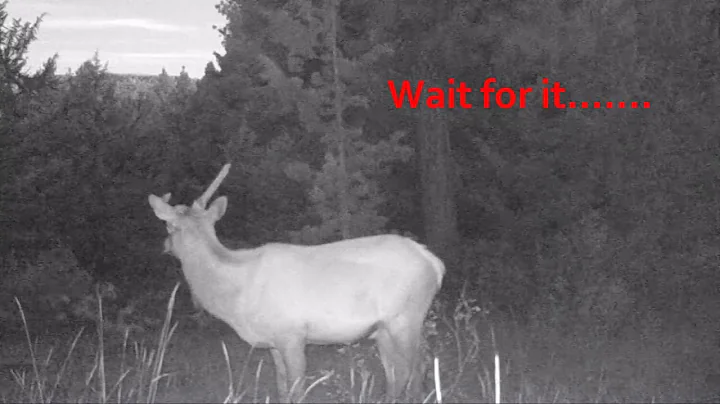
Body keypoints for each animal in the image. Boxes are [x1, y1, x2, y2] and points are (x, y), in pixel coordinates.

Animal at [148, 164, 445, 403]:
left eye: (169, 227)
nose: (164, 245)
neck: (238, 296)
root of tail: (434, 263)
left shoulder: (292, 334)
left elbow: (297, 389)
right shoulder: (274, 341)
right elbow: (282, 388)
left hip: (406, 317)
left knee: (415, 369)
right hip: (383, 329)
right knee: (399, 371)